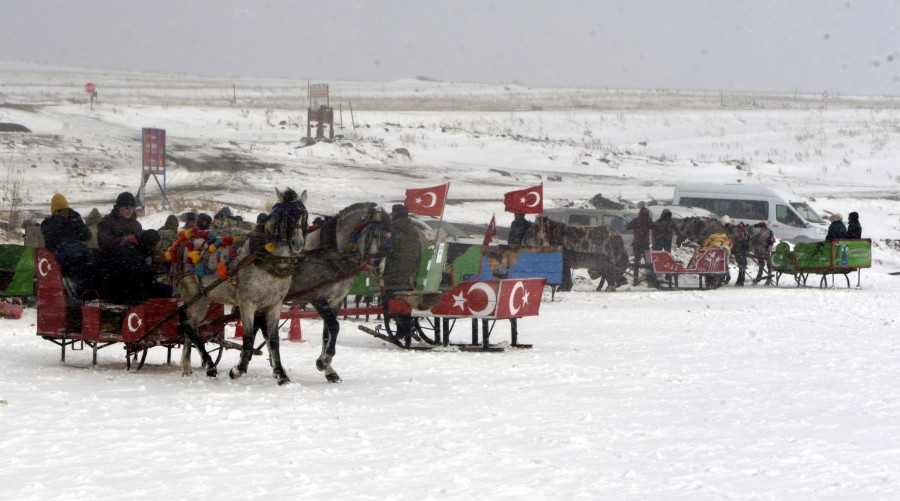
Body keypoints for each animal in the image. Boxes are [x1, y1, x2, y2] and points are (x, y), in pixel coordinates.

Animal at [173, 189, 310, 384]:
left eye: (304, 215)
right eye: (285, 215)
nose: (297, 243)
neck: (266, 261)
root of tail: (185, 240)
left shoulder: (274, 305)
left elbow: (273, 340)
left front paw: (281, 375)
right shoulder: (247, 304)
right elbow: (248, 338)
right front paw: (237, 370)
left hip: (203, 297)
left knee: (190, 326)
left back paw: (187, 366)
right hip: (191, 292)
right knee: (188, 326)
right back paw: (209, 366)